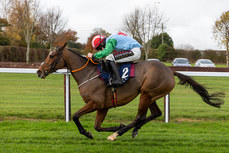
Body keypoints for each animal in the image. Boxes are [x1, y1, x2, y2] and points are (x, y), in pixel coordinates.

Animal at [37, 43, 224, 141]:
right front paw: (113, 126)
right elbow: (97, 126)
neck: (89, 74)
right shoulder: (103, 106)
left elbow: (75, 115)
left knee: (139, 116)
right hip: (151, 95)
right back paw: (132, 130)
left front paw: (89, 133)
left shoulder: (95, 103)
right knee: (155, 113)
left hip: (147, 94)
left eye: (52, 56)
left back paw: (118, 133)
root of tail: (170, 70)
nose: (39, 71)